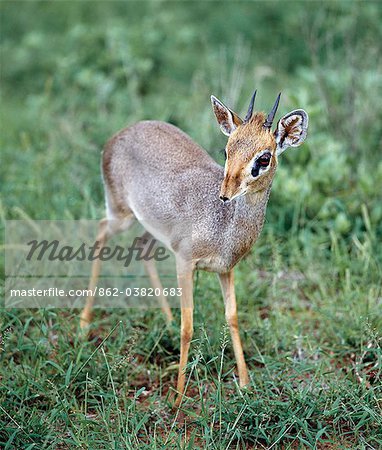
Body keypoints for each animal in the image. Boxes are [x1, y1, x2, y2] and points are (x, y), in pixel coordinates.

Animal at [80, 90, 308, 404]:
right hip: (120, 214)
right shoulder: (185, 262)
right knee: (101, 233)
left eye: (264, 158)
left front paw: (245, 383)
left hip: (150, 227)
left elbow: (232, 317)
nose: (225, 194)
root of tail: (119, 135)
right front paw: (177, 397)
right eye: (227, 150)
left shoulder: (225, 270)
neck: (222, 225)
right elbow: (188, 327)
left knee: (141, 248)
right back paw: (83, 322)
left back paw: (164, 319)